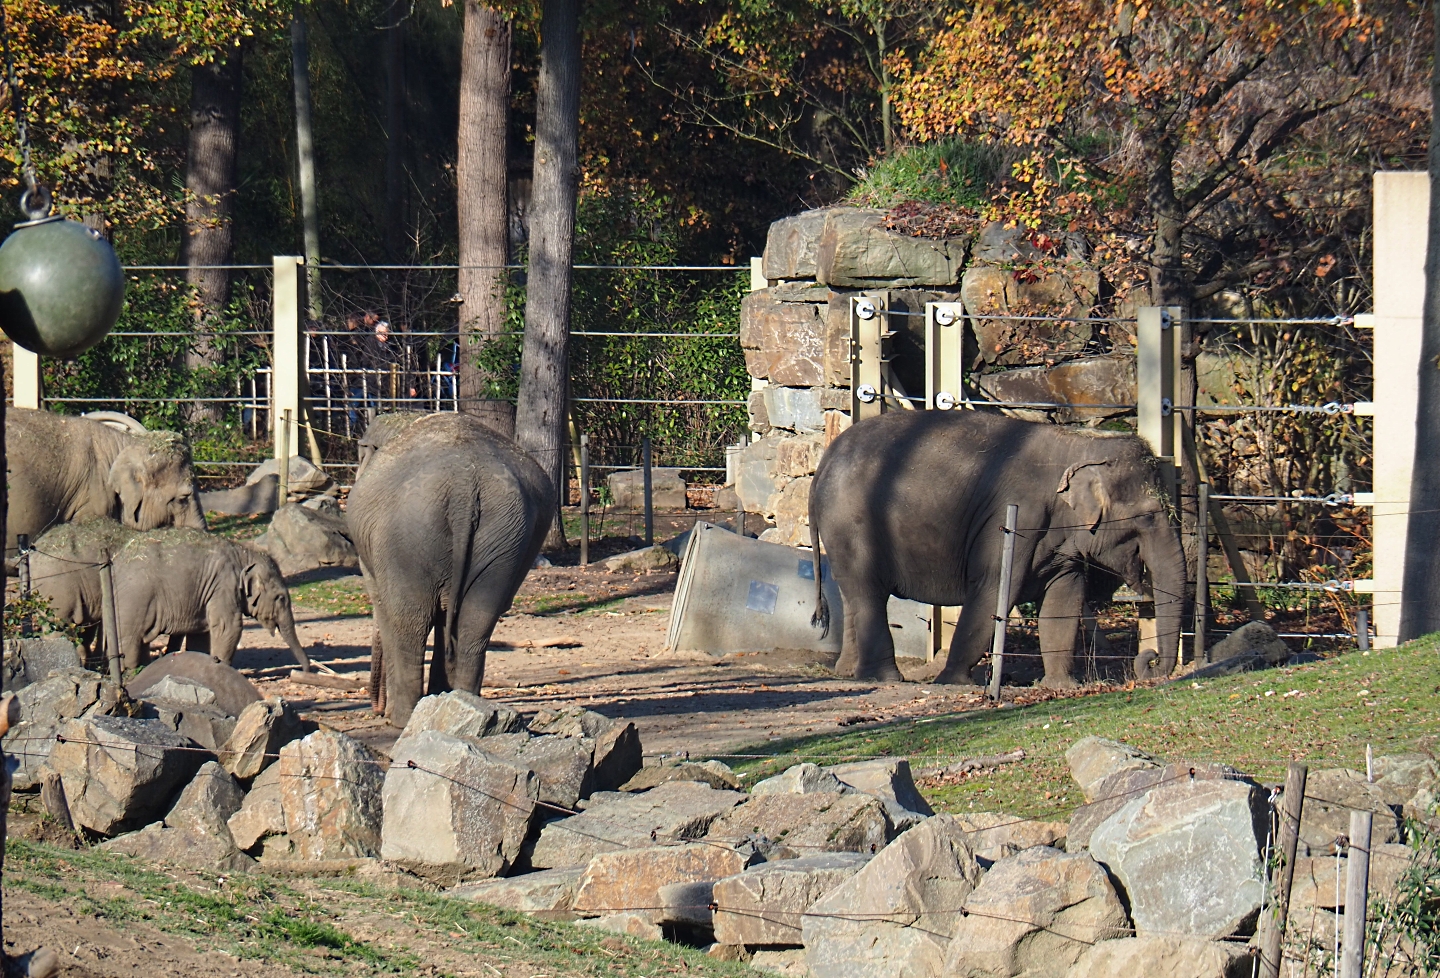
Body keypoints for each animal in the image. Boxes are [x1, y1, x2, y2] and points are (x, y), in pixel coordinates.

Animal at [108, 527, 310, 671]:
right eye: (280, 598)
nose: (305, 670)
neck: (244, 554)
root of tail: (116, 560)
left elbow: (201, 633)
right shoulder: (224, 586)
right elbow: (229, 627)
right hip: (135, 600)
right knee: (131, 642)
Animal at [348, 412, 554, 726]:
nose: (376, 710)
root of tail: (463, 484)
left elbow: (383, 606)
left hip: (406, 539)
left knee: (410, 622)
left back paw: (402, 719)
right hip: (507, 536)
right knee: (475, 622)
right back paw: (461, 704)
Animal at [808, 410, 1186, 688]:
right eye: (1148, 517)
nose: (1149, 660)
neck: (1080, 445)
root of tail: (824, 462)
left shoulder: (1061, 541)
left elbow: (1064, 600)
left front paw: (1061, 686)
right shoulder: (1012, 518)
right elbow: (992, 593)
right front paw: (952, 683)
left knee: (853, 595)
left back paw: (850, 674)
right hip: (852, 523)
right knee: (868, 592)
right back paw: (886, 678)